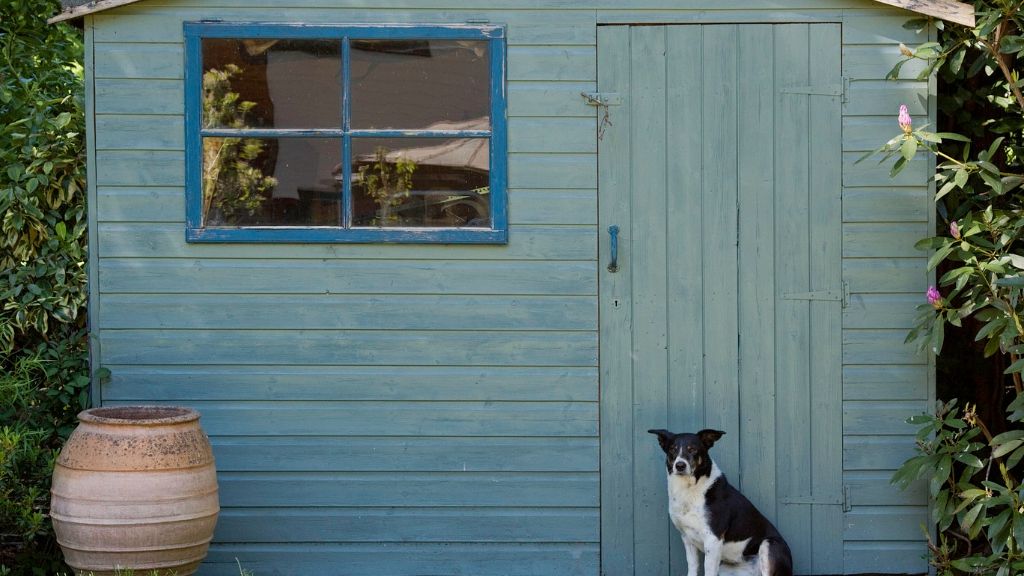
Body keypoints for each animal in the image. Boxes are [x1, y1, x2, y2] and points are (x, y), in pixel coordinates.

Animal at [647, 428, 790, 573]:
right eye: (672, 449)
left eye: (693, 449)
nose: (680, 465)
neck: (690, 489)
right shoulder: (687, 538)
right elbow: (692, 566)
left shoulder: (713, 538)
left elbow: (708, 569)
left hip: (769, 545)